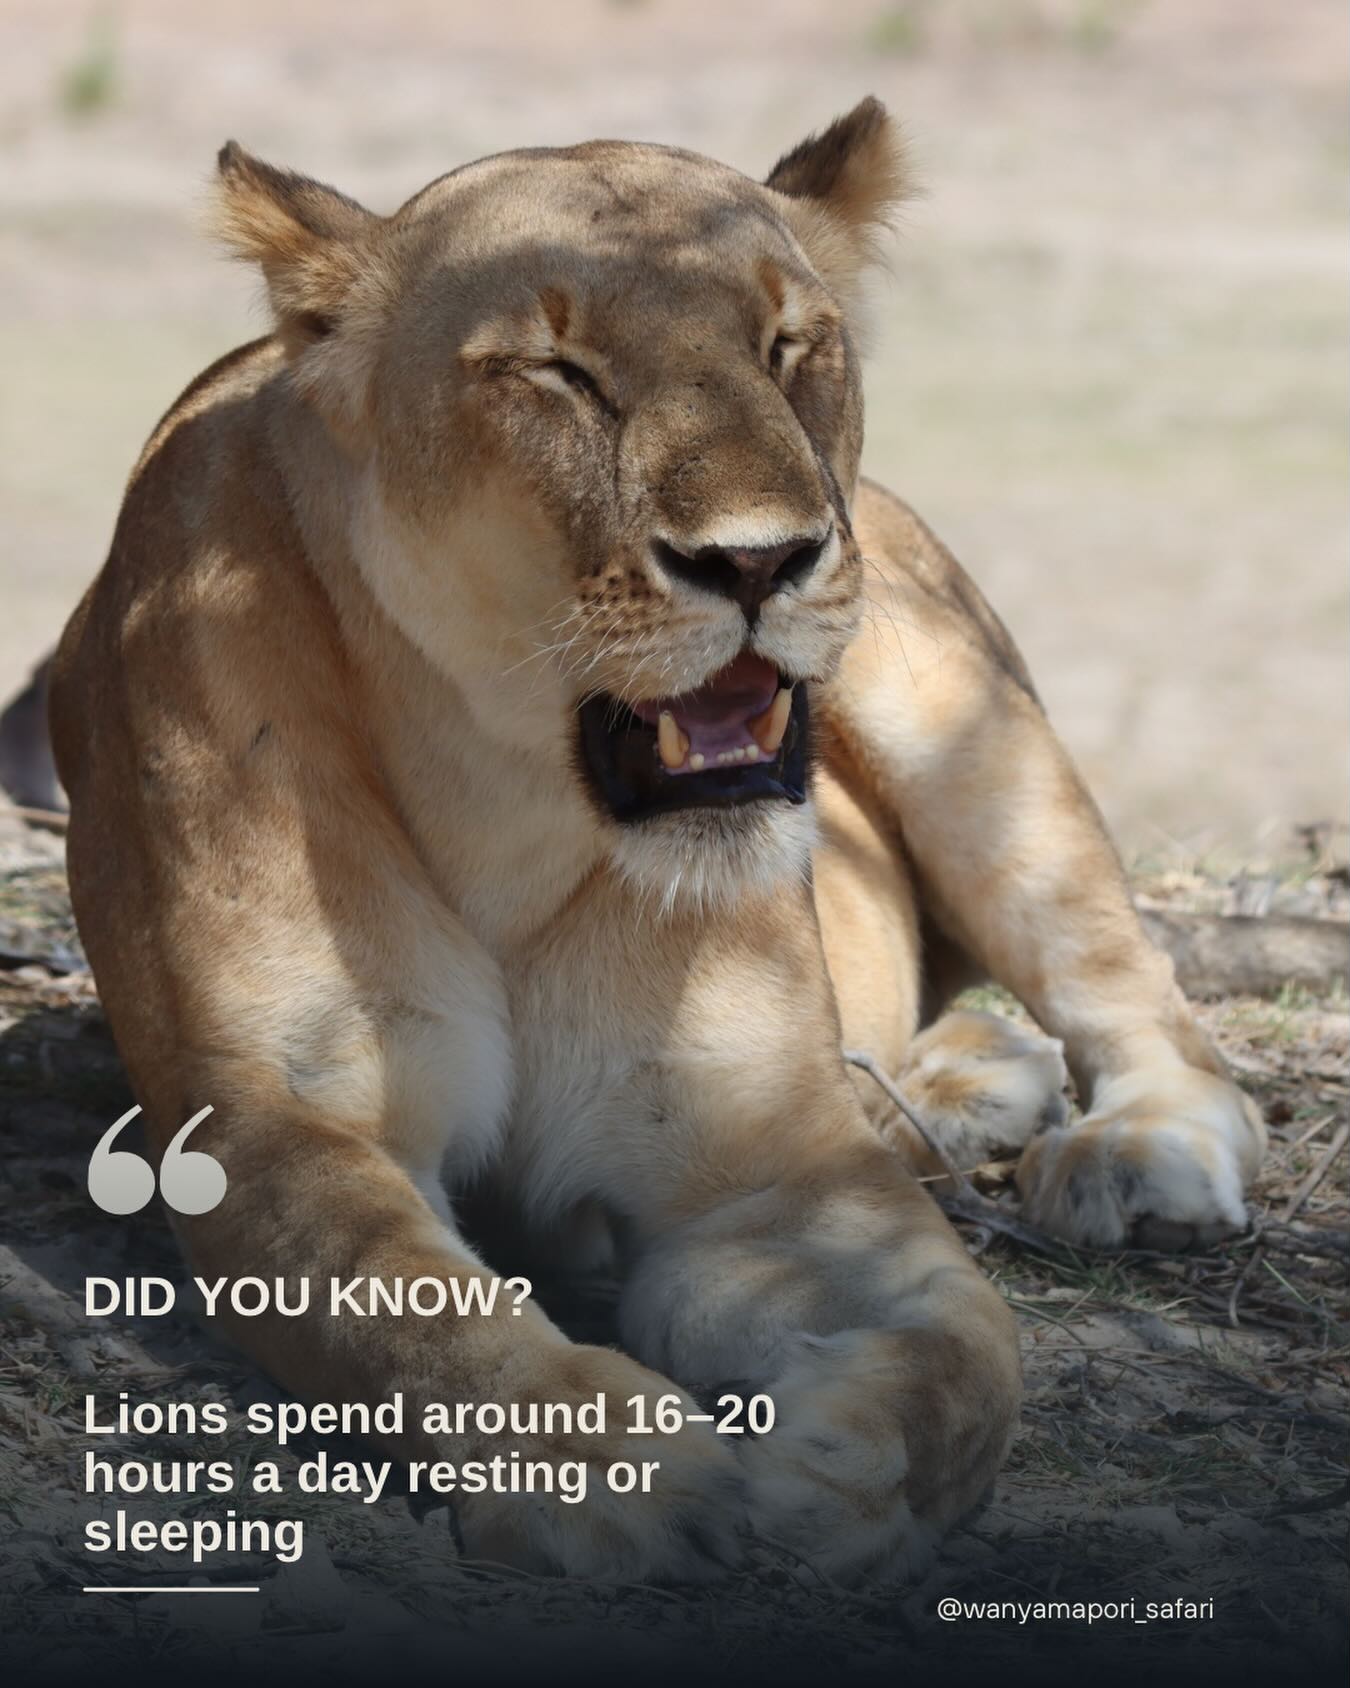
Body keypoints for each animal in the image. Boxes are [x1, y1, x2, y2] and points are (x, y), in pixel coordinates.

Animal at [47, 99, 1265, 1583]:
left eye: (787, 344)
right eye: (556, 370)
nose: (760, 562)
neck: (504, 796)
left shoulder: (766, 1169)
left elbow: (973, 1349)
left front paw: (842, 1472)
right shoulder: (279, 1120)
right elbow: (411, 1302)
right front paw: (608, 1467)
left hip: (967, 726)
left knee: (1136, 992)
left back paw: (1138, 1147)